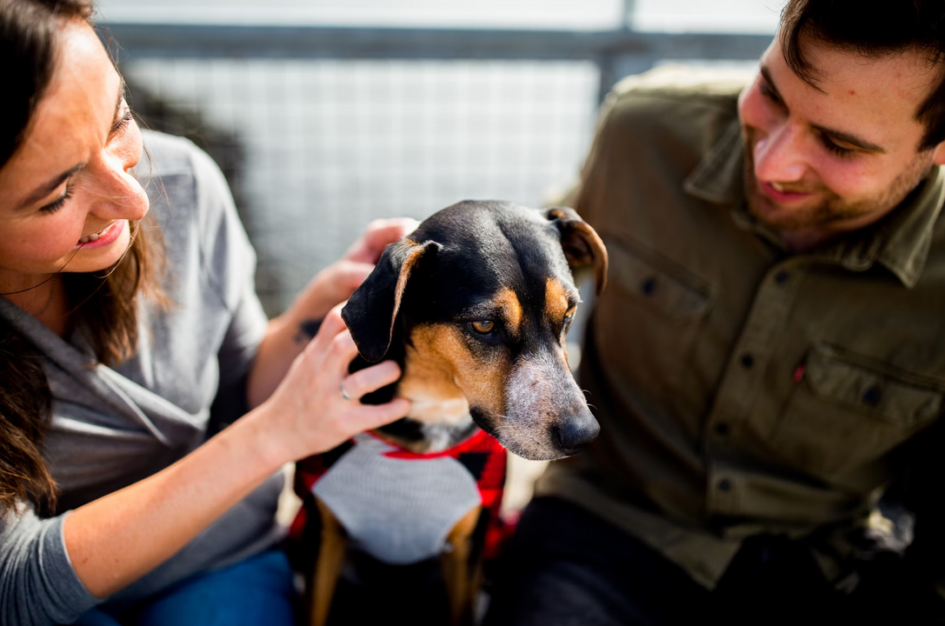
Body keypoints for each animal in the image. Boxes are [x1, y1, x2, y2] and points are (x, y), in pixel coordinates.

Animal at [292, 200, 608, 624]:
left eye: (570, 315)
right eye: (484, 324)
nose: (583, 434)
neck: (436, 407)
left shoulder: (469, 547)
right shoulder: (322, 537)